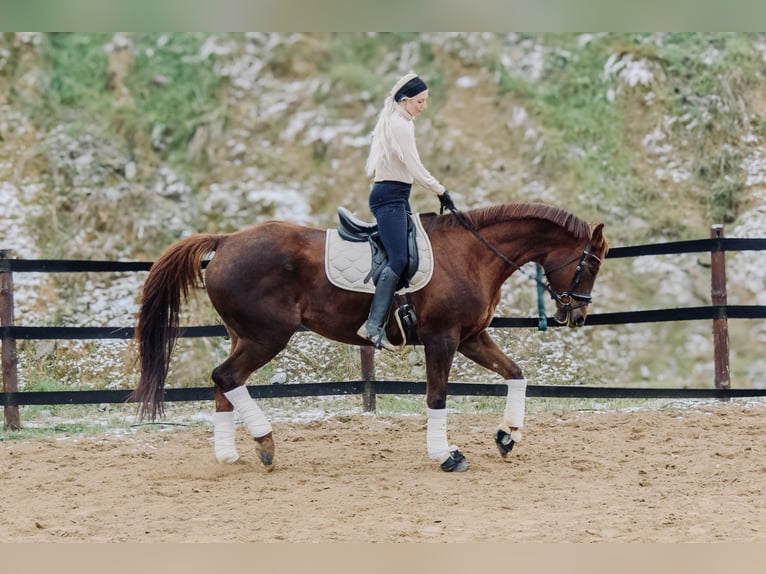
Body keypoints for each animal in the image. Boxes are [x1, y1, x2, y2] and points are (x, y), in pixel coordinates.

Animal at [129, 202, 608, 472]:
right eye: (590, 263)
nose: (577, 314)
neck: (472, 253)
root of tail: (227, 241)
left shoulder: (471, 337)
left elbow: (516, 374)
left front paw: (508, 435)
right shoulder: (443, 339)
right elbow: (437, 397)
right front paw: (446, 455)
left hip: (243, 336)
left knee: (224, 385)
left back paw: (231, 455)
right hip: (266, 337)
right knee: (225, 377)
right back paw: (264, 441)